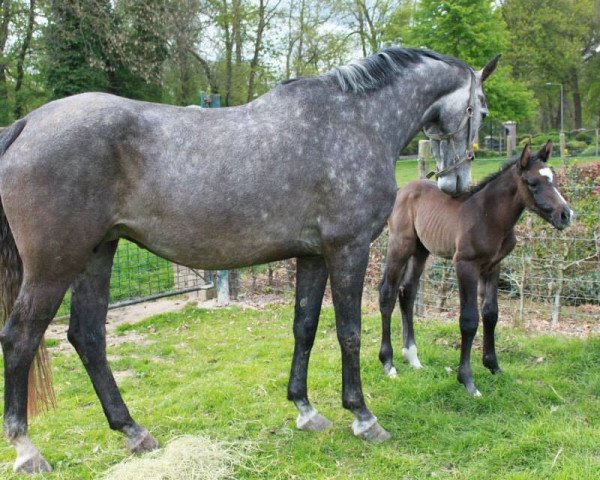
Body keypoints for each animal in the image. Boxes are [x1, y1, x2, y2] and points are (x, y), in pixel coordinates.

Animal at [0, 48, 500, 472]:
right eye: (483, 110)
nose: (456, 184)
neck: (357, 121)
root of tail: (27, 123)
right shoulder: (348, 249)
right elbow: (349, 332)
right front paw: (362, 416)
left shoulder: (313, 256)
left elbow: (305, 327)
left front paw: (305, 409)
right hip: (54, 265)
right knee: (20, 338)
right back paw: (27, 449)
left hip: (97, 254)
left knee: (87, 337)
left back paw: (133, 432)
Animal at [380, 141, 572, 396]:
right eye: (532, 183)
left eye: (554, 178)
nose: (566, 214)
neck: (488, 216)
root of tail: (403, 189)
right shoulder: (465, 265)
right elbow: (469, 320)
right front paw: (467, 381)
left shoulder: (492, 266)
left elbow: (491, 313)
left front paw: (493, 366)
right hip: (400, 245)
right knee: (388, 293)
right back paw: (389, 363)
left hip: (421, 250)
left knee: (407, 292)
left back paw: (412, 358)